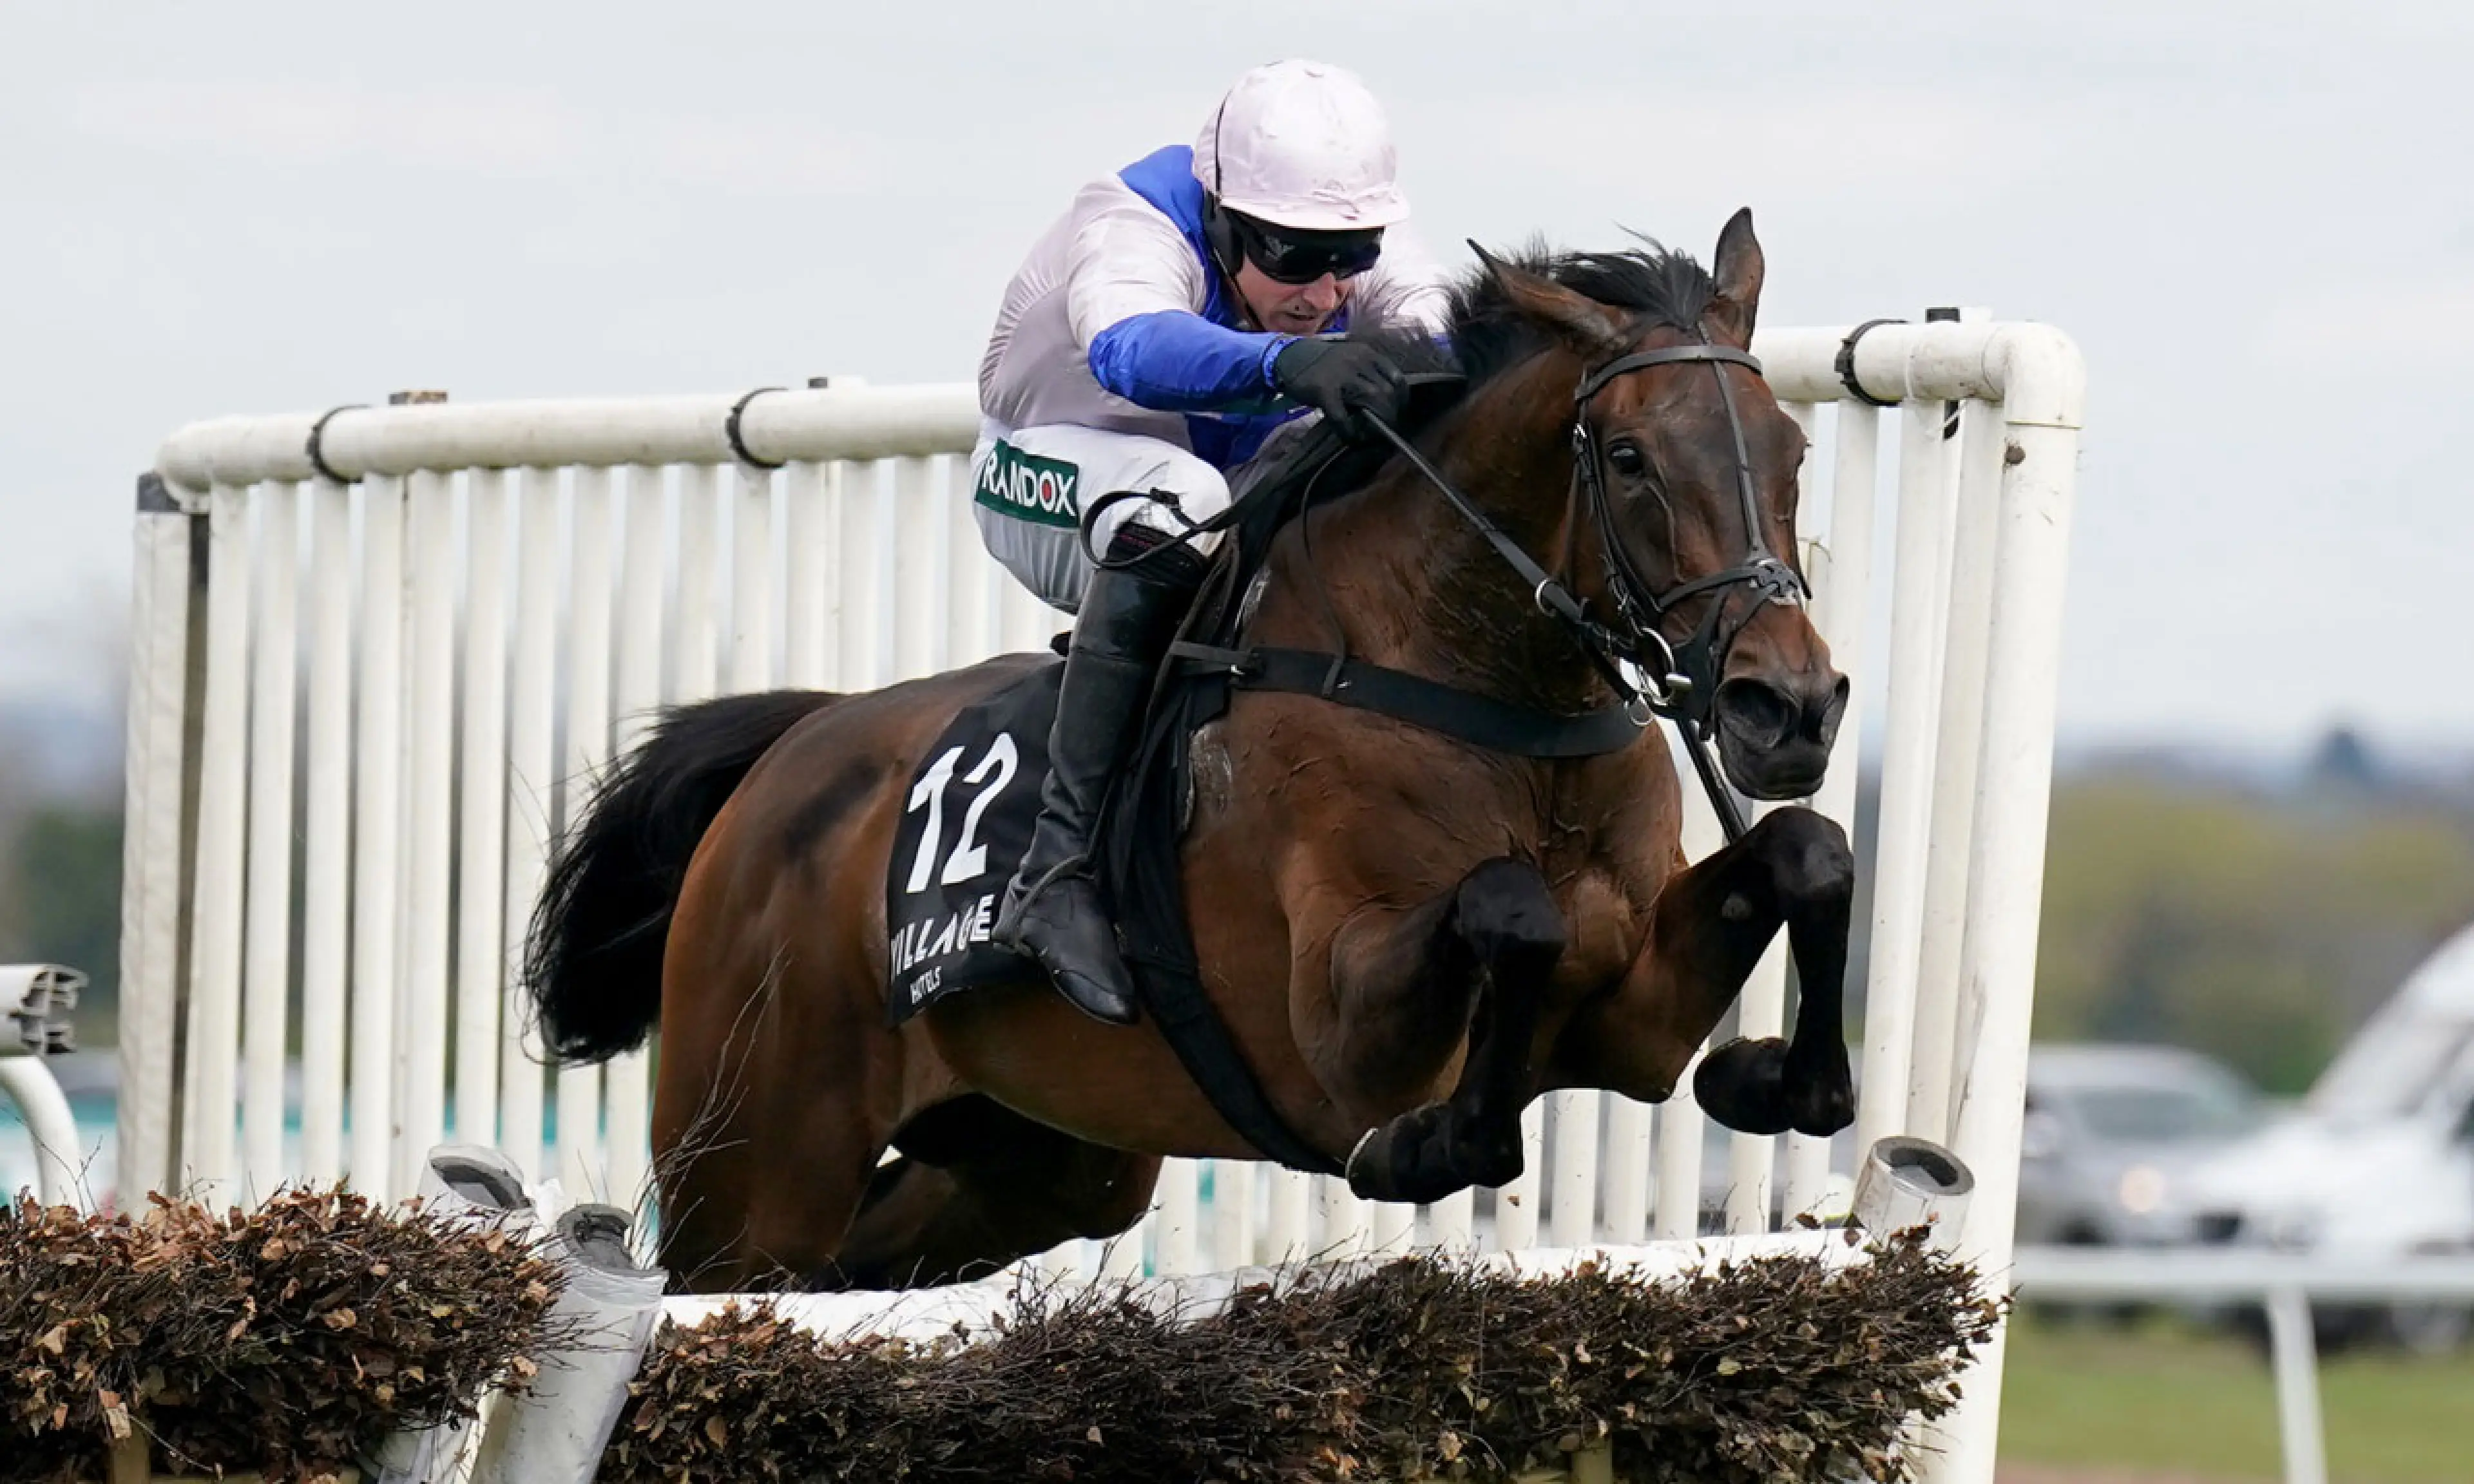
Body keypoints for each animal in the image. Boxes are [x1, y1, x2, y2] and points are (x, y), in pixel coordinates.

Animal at [524, 209, 1855, 1293]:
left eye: (1792, 452)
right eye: (1628, 459)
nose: (1785, 705)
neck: (1493, 705)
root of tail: (785, 758)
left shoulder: (1631, 1022)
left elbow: (1807, 852)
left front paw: (1785, 1080)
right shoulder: (1335, 1034)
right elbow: (1507, 908)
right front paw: (1439, 1137)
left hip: (1032, 1164)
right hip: (750, 1175)